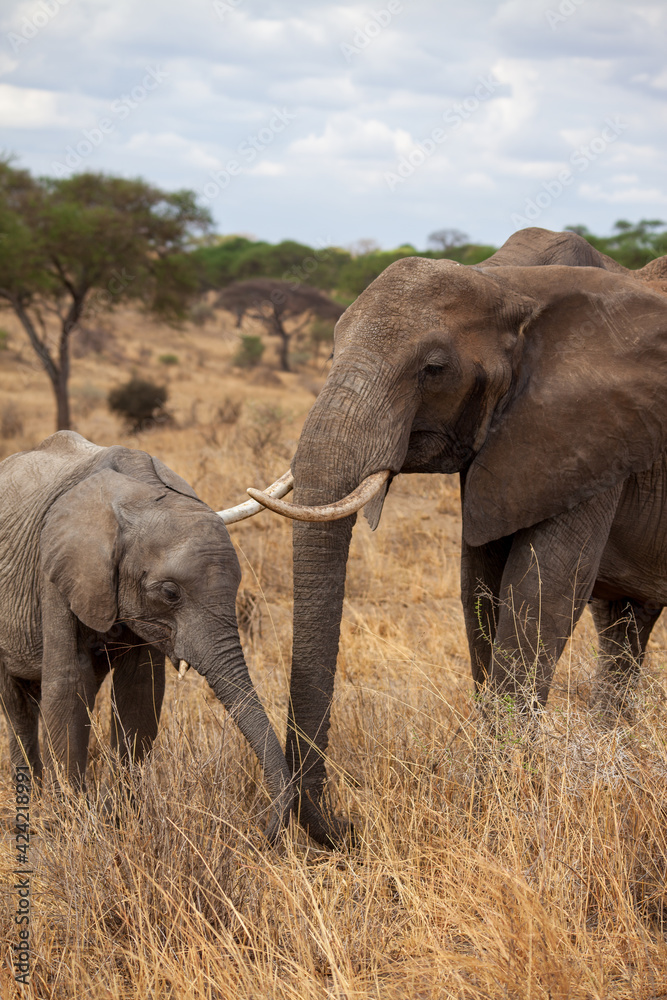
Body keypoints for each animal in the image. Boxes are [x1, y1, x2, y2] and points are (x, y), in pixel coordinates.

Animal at [0, 434, 292, 840]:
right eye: (170, 593)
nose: (262, 832)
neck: (140, 492)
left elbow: (140, 694)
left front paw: (123, 821)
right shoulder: (55, 570)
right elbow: (68, 687)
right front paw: (78, 829)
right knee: (18, 707)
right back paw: (31, 804)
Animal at [244, 240, 667, 844]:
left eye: (434, 369)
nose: (347, 827)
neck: (508, 282)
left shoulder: (592, 429)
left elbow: (541, 595)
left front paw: (493, 807)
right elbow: (480, 593)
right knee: (624, 627)